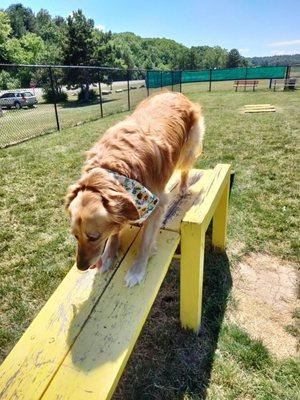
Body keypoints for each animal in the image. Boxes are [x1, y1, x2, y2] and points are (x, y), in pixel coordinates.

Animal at [66, 92, 204, 286]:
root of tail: (175, 93)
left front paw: (137, 271)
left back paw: (183, 187)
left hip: (187, 150)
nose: (81, 267)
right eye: (75, 236)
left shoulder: (157, 204)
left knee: (185, 168)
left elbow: (145, 241)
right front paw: (109, 256)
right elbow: (114, 232)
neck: (114, 172)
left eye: (93, 237)